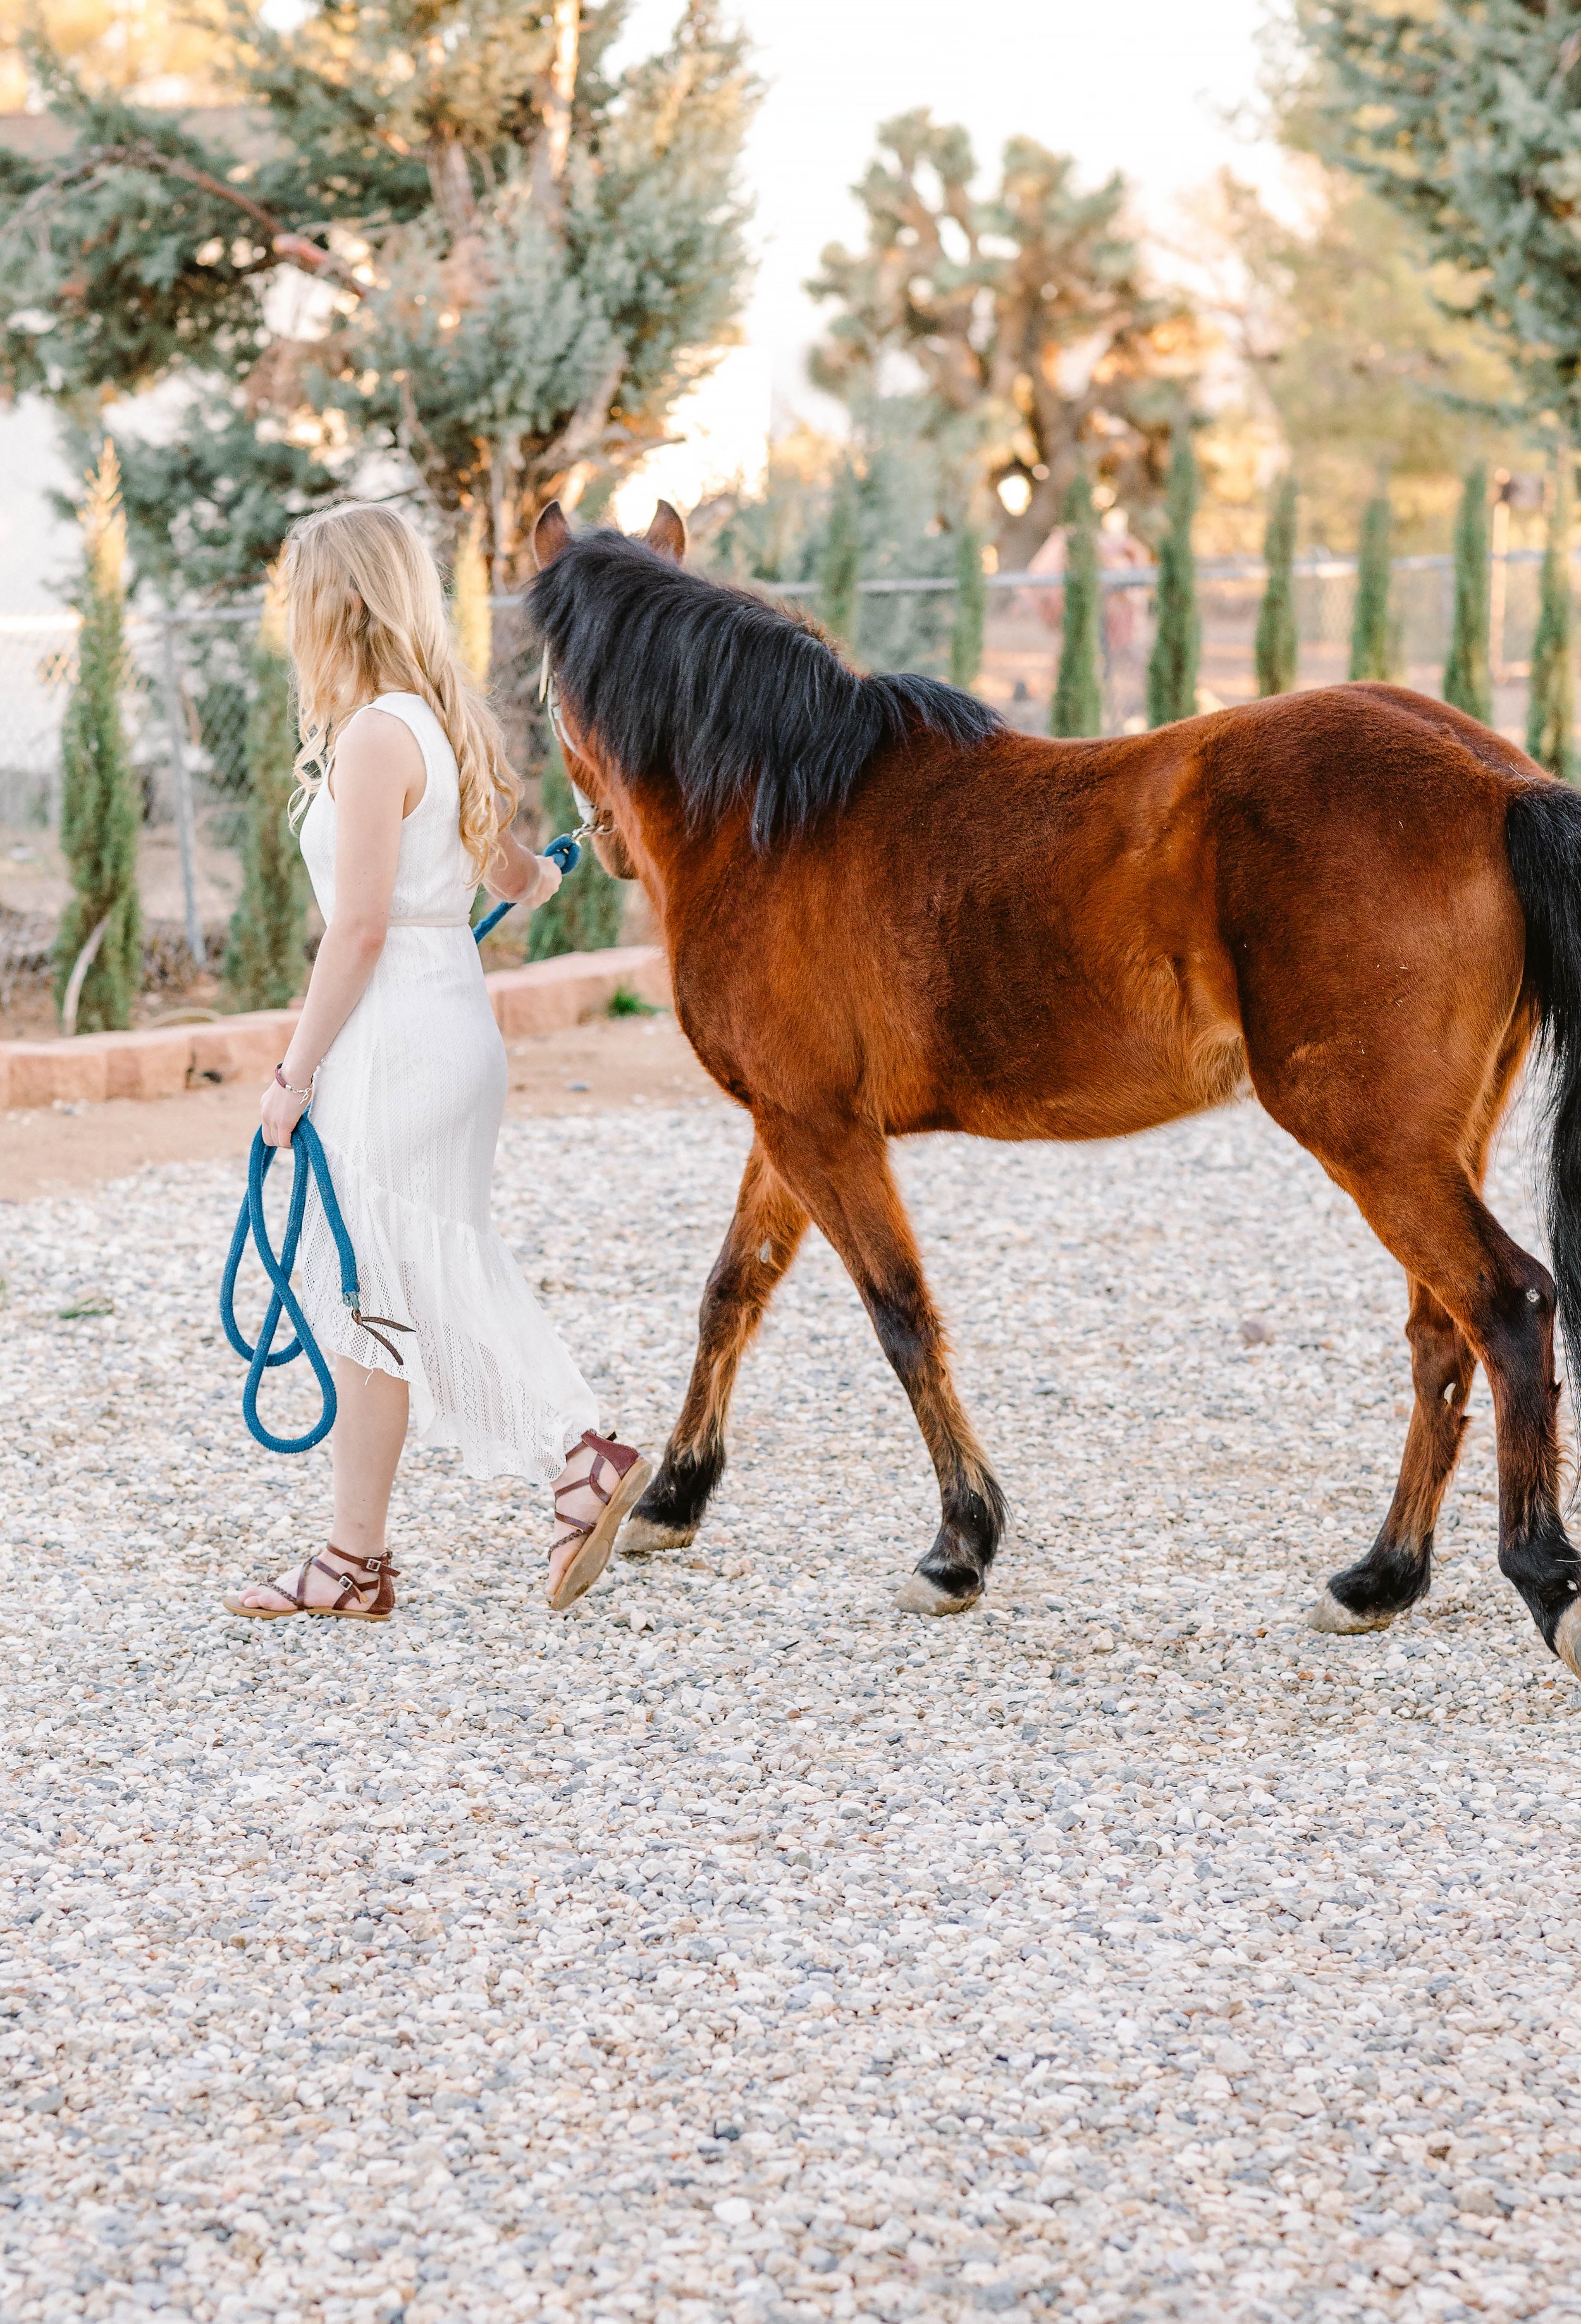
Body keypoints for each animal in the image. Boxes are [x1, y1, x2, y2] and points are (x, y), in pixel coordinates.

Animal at [527, 497, 1581, 1683]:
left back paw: (1545, 1580)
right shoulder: (789, 1128)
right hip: (1436, 1144)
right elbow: (730, 1295)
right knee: (1443, 1338)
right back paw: (1380, 1578)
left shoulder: (821, 1133)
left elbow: (900, 1314)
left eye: (543, 685)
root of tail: (1497, 781)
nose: (597, 847)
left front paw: (959, 1547)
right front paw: (671, 1495)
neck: (781, 815)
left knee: (1508, 1306)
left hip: (1377, 1144)